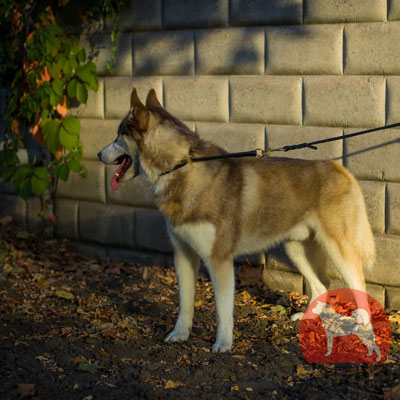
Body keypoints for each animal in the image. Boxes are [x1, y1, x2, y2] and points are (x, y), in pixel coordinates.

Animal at [97, 88, 376, 354]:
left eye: (118, 135)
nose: (99, 153)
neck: (181, 167)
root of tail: (339, 169)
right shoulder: (183, 254)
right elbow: (185, 303)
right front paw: (180, 334)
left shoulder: (219, 260)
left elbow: (223, 311)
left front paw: (223, 344)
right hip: (296, 248)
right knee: (321, 285)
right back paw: (307, 317)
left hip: (338, 248)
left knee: (358, 282)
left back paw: (362, 322)